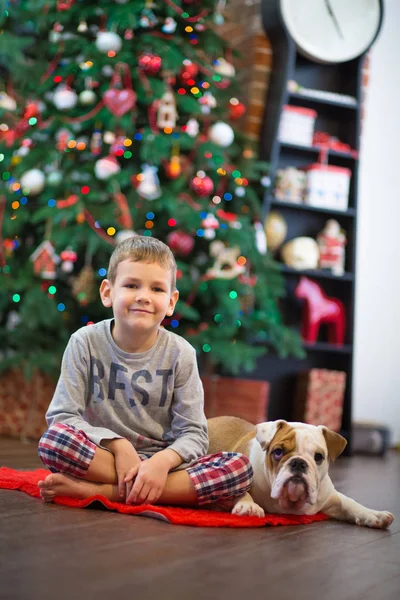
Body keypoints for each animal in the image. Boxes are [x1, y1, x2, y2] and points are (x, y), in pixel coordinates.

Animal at [208, 414, 396, 528]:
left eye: (318, 456)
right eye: (278, 452)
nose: (298, 462)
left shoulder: (331, 498)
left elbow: (349, 503)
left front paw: (373, 514)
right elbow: (241, 488)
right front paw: (248, 505)